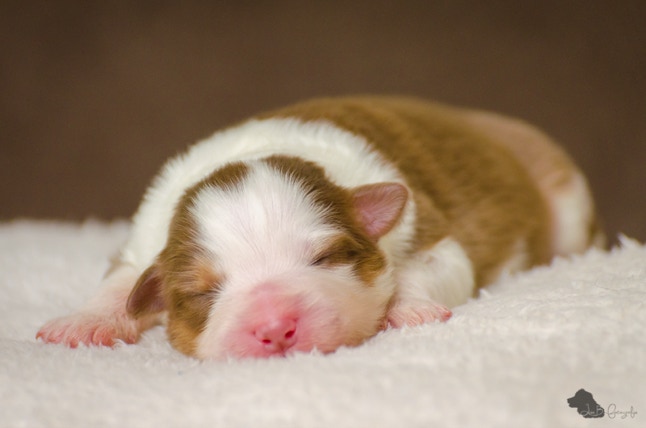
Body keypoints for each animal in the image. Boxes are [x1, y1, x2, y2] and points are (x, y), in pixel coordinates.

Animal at [37, 96, 604, 359]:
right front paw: (83, 322)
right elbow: (121, 280)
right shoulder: (143, 243)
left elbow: (434, 265)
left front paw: (409, 309)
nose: (274, 328)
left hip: (567, 195)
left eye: (325, 258)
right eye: (203, 293)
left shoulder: (430, 229)